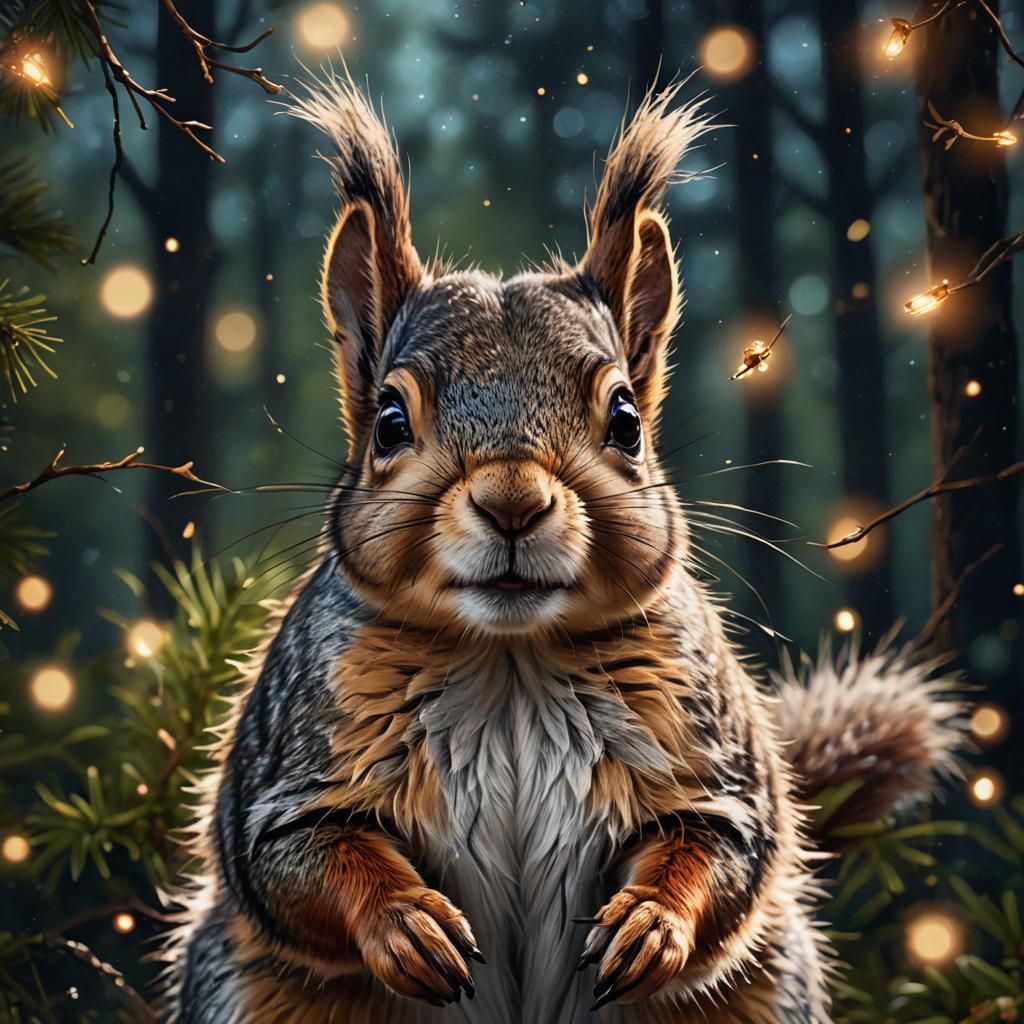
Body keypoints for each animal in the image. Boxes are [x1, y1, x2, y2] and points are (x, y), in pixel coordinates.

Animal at [166, 73, 964, 1024]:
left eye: (625, 420)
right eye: (390, 421)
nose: (514, 503)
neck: (512, 658)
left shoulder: (714, 760)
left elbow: (716, 850)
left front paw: (651, 922)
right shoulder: (293, 766)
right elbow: (304, 858)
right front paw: (406, 924)